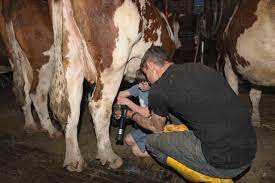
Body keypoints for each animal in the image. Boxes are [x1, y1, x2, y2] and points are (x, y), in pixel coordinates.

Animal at [0, 0, 61, 137]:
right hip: (45, 57)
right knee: (37, 92)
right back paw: (51, 130)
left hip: (19, 57)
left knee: (24, 90)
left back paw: (31, 125)